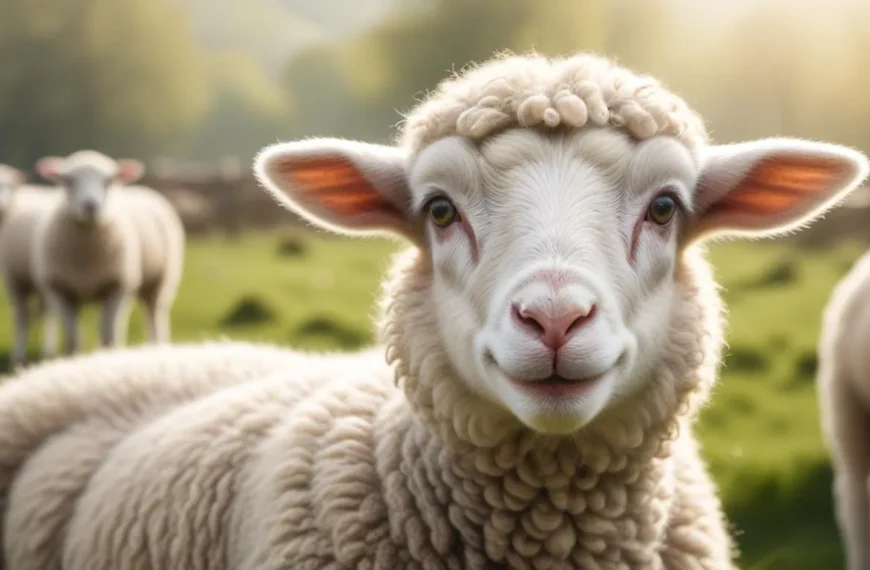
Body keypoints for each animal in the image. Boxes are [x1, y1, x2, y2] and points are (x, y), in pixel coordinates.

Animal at [0, 165, 62, 368]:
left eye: (11, 184)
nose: (2, 203)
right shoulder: (13, 280)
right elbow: (21, 315)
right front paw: (18, 354)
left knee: (47, 312)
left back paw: (47, 350)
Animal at [32, 150, 185, 355]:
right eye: (68, 181)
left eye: (109, 181)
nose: (90, 206)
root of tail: (143, 189)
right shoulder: (59, 289)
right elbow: (73, 338)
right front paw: (74, 357)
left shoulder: (117, 286)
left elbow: (110, 335)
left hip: (161, 281)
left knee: (154, 315)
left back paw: (157, 345)